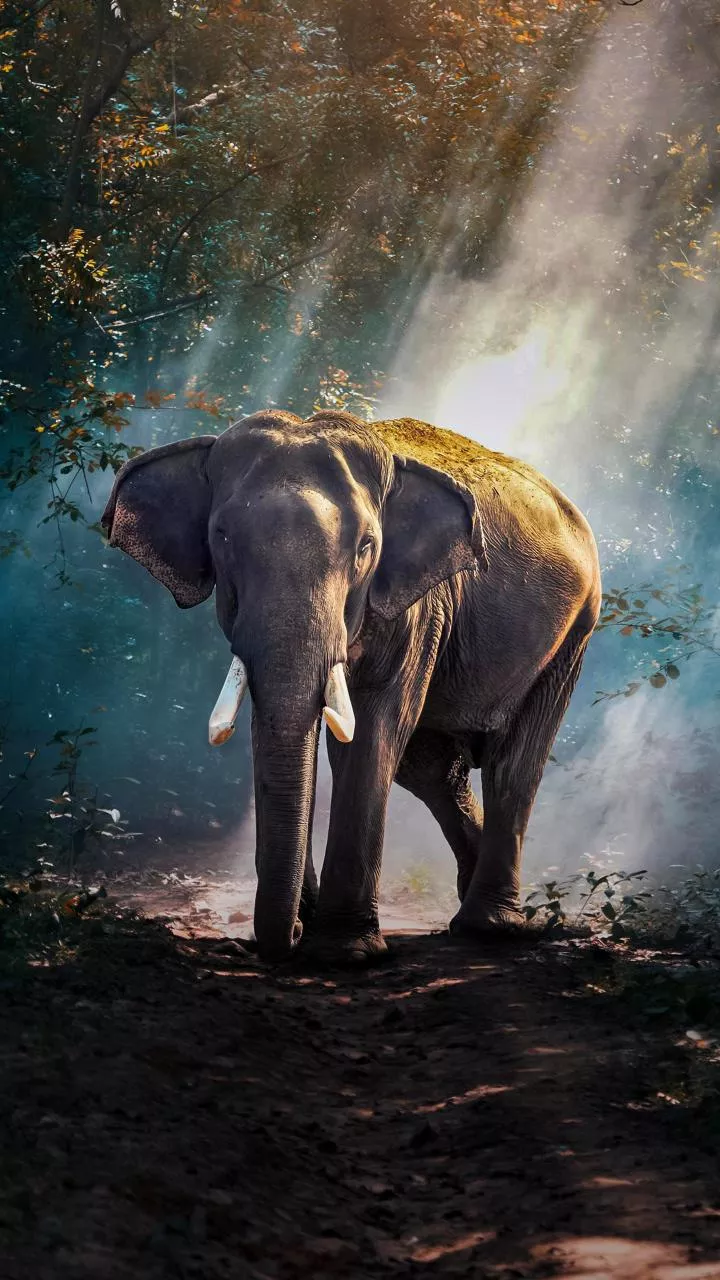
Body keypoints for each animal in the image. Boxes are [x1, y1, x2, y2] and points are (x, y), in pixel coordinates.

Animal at [102, 410, 601, 964]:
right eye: (222, 537)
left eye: (366, 547)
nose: (290, 936)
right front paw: (312, 928)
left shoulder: (418, 606)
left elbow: (372, 731)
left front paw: (344, 952)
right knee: (431, 769)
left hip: (573, 633)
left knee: (512, 764)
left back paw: (491, 927)